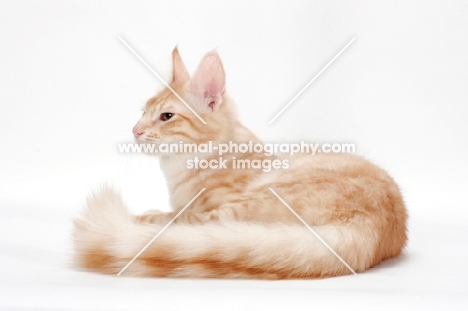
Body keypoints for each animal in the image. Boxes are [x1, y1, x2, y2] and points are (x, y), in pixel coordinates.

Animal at [73, 47, 406, 280]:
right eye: (142, 112)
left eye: (166, 116)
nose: (135, 131)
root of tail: (373, 228)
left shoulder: (213, 203)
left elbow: (182, 214)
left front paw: (151, 214)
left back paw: (141, 219)